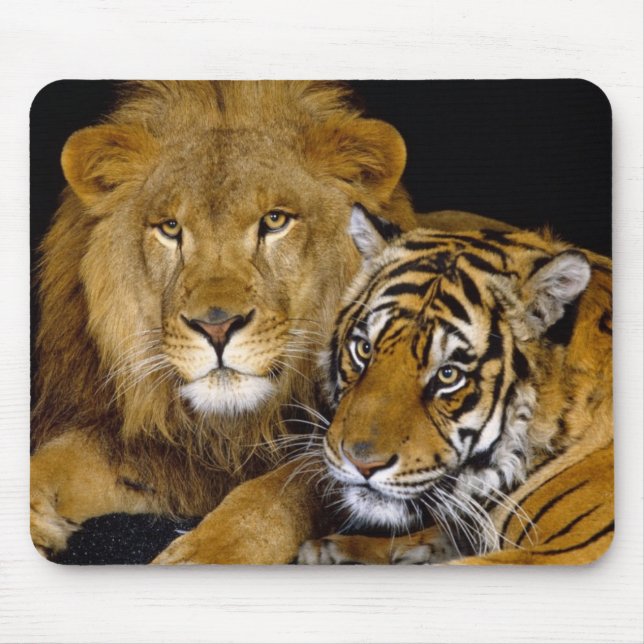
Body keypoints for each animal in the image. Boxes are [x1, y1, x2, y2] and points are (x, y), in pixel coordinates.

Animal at [31, 81, 511, 564]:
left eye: (275, 220)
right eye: (170, 228)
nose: (217, 327)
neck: (234, 428)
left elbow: (277, 492)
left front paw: (207, 552)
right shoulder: (159, 450)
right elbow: (55, 460)